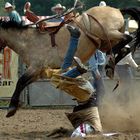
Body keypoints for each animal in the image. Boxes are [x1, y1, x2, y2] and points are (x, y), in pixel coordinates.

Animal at [0, 5, 139, 117]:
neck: (27, 41)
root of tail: (117, 10)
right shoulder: (39, 72)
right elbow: (23, 83)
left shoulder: (35, 67)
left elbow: (20, 82)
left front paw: (11, 108)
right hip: (109, 38)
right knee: (125, 47)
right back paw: (110, 65)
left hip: (110, 33)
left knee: (127, 38)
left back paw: (110, 59)